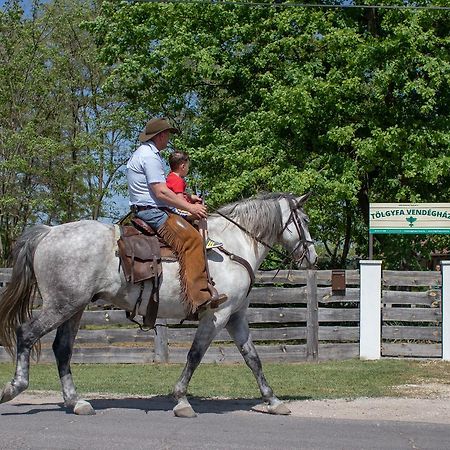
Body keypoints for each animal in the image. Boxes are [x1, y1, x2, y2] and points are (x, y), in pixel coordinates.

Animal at [0, 192, 316, 416]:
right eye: (305, 220)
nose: (313, 257)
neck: (231, 246)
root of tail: (49, 232)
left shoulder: (235, 316)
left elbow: (253, 358)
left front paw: (273, 400)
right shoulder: (217, 314)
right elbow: (195, 355)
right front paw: (181, 399)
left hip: (74, 308)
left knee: (62, 348)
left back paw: (76, 401)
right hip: (60, 305)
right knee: (26, 333)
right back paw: (14, 388)